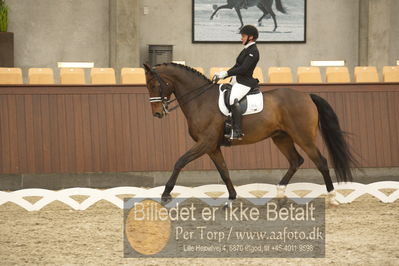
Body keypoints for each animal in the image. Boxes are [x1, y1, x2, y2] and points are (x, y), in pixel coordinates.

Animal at [145, 62, 360, 206]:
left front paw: (166, 194)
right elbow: (224, 171)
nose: (157, 113)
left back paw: (332, 197)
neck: (201, 100)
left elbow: (180, 162)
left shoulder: (205, 143)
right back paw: (280, 194)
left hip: (303, 137)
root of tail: (307, 95)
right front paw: (231, 198)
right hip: (281, 137)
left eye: (155, 85)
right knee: (295, 161)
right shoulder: (212, 147)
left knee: (320, 162)